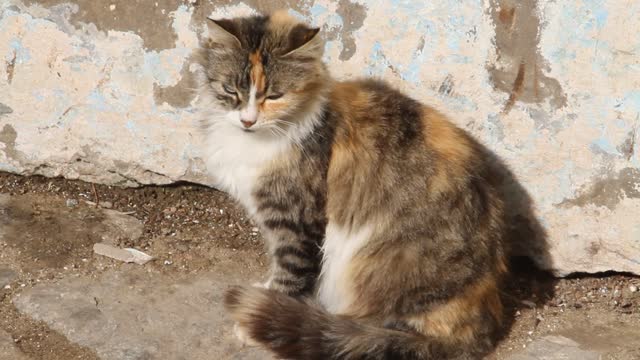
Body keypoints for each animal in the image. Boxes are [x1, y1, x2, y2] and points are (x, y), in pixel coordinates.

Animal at [196, 10, 510, 360]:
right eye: (231, 91)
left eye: (274, 96)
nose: (247, 120)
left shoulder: (297, 219)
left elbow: (291, 270)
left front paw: (264, 311)